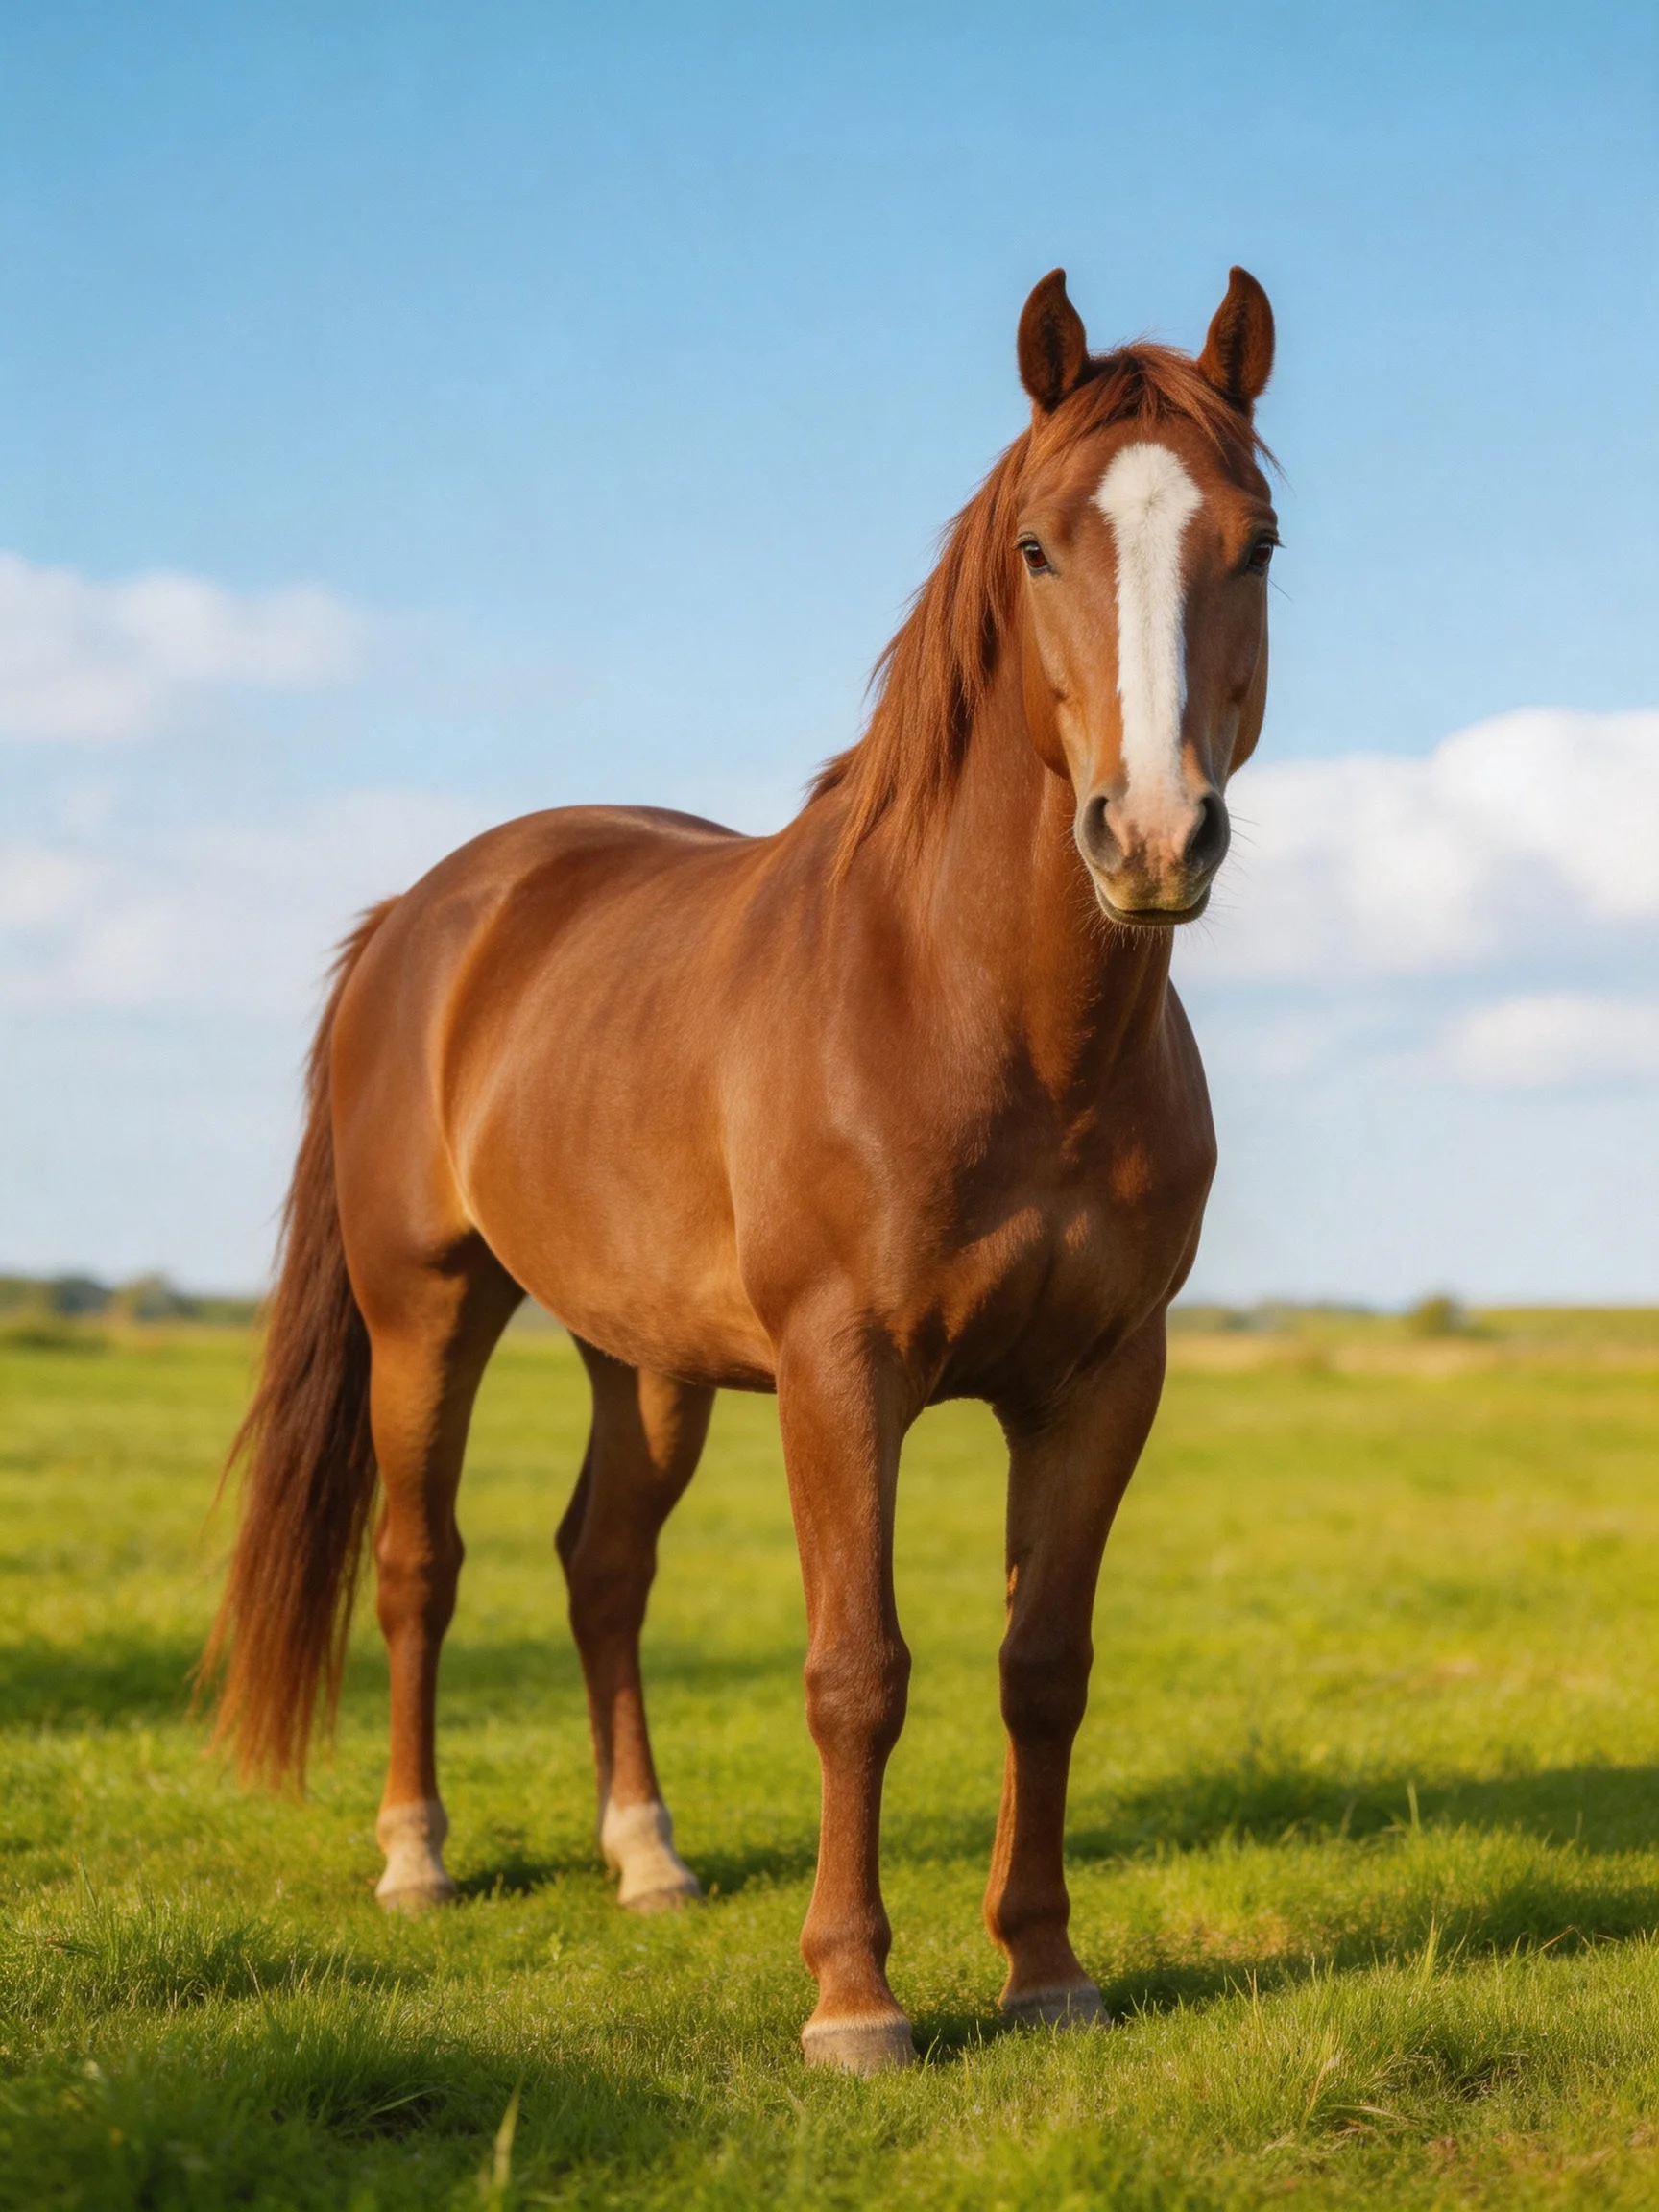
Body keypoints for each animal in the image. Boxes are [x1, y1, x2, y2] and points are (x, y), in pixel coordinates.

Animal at [204, 264, 1278, 2073]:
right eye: (1038, 547)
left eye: (1255, 543)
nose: (1150, 837)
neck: (979, 1015)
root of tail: (428, 911)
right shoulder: (844, 1370)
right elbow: (858, 1670)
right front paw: (855, 1998)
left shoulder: (1098, 1378)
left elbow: (1040, 1664)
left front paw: (1044, 1969)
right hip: (426, 1311)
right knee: (422, 1565)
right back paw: (415, 1857)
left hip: (643, 1358)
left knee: (601, 1564)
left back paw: (647, 1858)